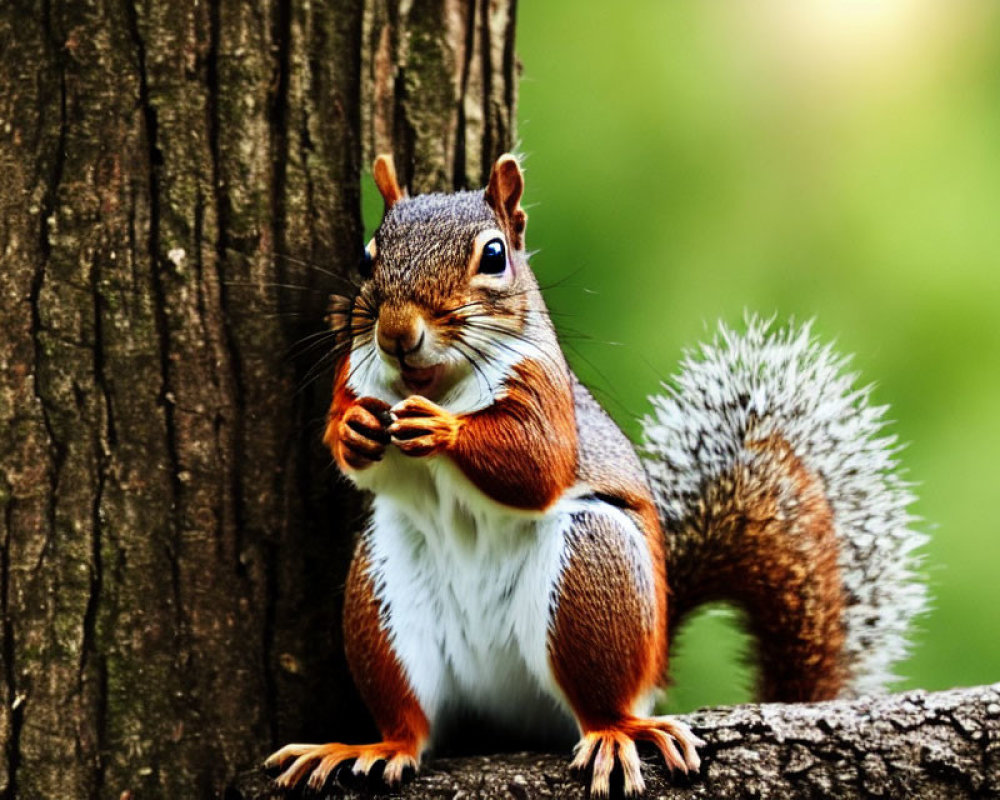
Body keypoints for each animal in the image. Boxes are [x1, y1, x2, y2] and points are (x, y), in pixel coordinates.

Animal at [266, 152, 928, 792]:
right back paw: (375, 746)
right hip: (381, 594)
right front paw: (354, 429)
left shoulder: (545, 390)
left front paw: (443, 429)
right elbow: (349, 445)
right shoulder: (355, 375)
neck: (435, 382)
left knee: (601, 701)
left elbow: (536, 463)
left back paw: (617, 730)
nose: (399, 333)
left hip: (594, 565)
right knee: (411, 723)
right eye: (366, 257)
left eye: (494, 256)